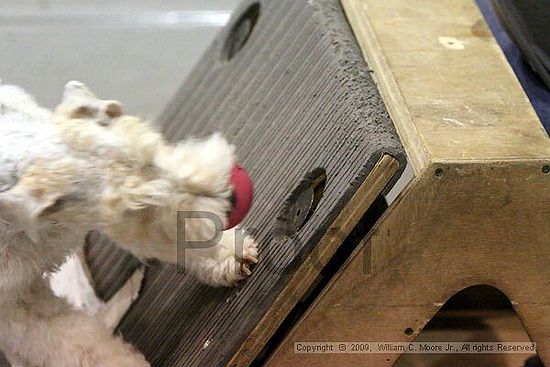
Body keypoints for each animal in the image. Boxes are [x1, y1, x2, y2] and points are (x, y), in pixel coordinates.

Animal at [0, 82, 258, 366]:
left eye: (149, 156)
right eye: (134, 207)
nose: (233, 198)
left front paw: (230, 256)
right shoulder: (19, 308)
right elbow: (80, 344)